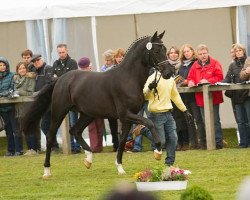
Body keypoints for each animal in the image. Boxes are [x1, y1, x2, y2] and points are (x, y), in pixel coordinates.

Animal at [23, 30, 174, 177]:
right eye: (156, 51)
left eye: (166, 49)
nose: (169, 72)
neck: (128, 78)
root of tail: (60, 79)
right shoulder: (125, 114)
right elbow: (150, 123)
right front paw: (158, 152)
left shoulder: (128, 118)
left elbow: (122, 141)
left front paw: (120, 168)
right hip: (59, 112)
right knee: (50, 136)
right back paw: (46, 171)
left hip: (87, 115)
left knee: (75, 131)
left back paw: (88, 159)